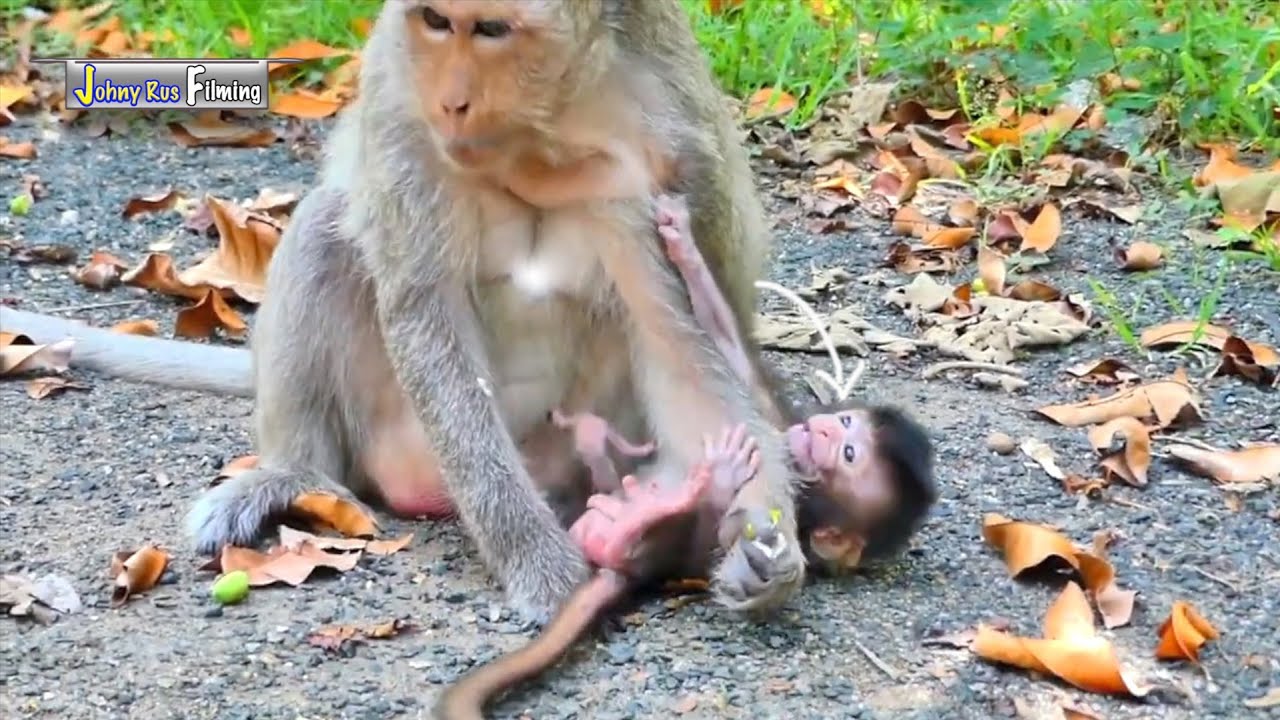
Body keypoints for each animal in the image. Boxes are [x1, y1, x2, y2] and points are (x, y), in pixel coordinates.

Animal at [2, 1, 806, 620]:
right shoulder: (400, 99)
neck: (541, 135)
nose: (451, 99)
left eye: (491, 30)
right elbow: (424, 307)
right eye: (436, 20)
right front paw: (538, 563)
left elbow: (678, 343)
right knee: (327, 227)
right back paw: (294, 475)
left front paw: (763, 547)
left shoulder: (644, 169)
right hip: (389, 431)